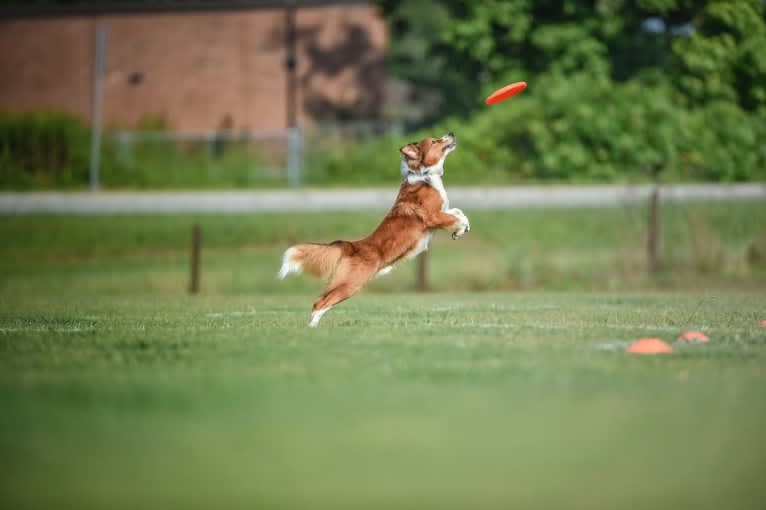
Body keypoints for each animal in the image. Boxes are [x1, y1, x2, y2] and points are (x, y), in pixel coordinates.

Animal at [276, 132, 468, 326]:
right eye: (435, 141)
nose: (451, 133)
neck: (424, 175)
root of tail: (352, 245)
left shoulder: (442, 212)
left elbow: (458, 212)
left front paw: (461, 230)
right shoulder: (433, 216)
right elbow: (455, 217)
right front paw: (460, 228)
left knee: (320, 300)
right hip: (351, 284)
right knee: (320, 303)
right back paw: (313, 328)